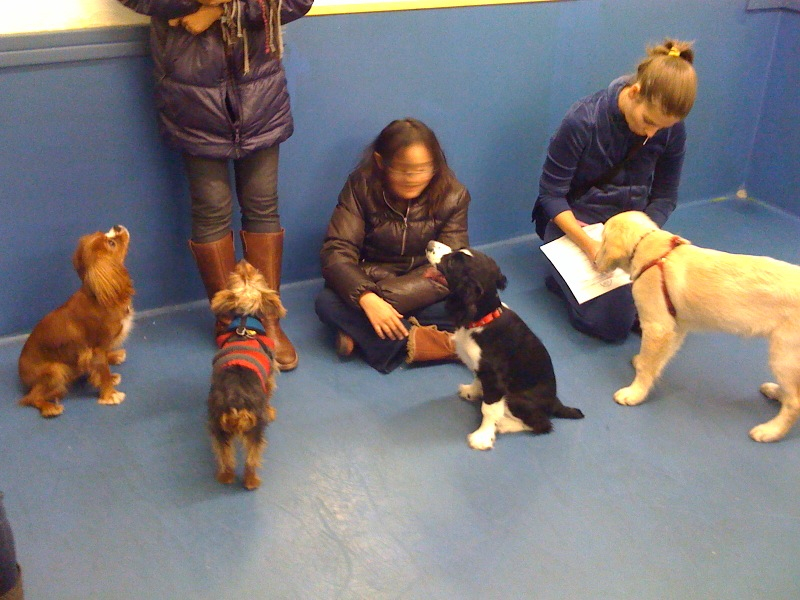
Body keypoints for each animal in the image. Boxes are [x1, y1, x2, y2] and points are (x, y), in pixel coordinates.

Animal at [18, 226, 134, 417]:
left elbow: (101, 369)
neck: (98, 296)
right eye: (112, 243)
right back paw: (50, 408)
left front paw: (110, 375)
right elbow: (102, 370)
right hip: (56, 370)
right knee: (30, 398)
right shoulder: (96, 349)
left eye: (107, 234)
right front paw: (110, 394)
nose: (117, 227)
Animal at [208, 260, 286, 490]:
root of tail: (235, 405)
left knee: (225, 457)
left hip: (218, 429)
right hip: (256, 431)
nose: (243, 261)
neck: (245, 319)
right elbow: (269, 393)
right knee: (252, 459)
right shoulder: (270, 376)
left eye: (250, 276)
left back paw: (226, 476)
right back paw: (252, 481)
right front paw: (271, 410)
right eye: (241, 275)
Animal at [426, 241, 584, 450]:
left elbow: (488, 409)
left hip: (517, 398)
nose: (429, 244)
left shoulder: (495, 379)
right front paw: (471, 391)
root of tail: (555, 402)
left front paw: (482, 437)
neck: (483, 320)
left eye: (451, 263)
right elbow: (477, 380)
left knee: (542, 424)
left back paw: (505, 425)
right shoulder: (481, 369)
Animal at [595, 210, 800, 442]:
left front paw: (635, 393)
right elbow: (657, 360)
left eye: (602, 240)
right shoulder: (675, 327)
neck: (651, 249)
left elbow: (648, 365)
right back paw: (776, 392)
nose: (594, 261)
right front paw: (645, 367)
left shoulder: (657, 327)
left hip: (784, 354)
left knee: (795, 402)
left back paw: (771, 430)